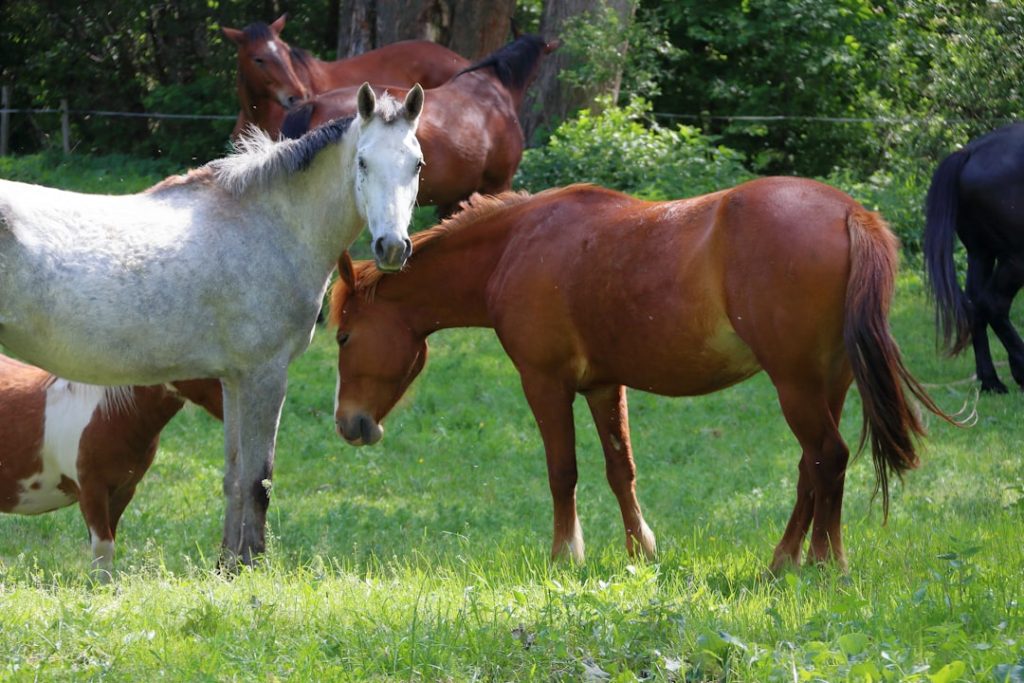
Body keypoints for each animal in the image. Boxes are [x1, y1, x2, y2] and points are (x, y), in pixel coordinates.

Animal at [328, 179, 953, 571]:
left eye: (342, 336)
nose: (348, 425)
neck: (517, 245)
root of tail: (851, 213)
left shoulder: (545, 384)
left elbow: (563, 472)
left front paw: (565, 555)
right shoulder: (605, 386)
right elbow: (619, 470)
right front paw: (641, 551)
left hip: (796, 386)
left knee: (828, 459)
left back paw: (826, 562)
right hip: (829, 384)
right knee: (813, 469)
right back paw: (784, 560)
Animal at [924, 123, 1024, 393]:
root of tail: (970, 151)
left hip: (981, 254)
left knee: (974, 304)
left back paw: (991, 380)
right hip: (1015, 259)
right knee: (993, 304)